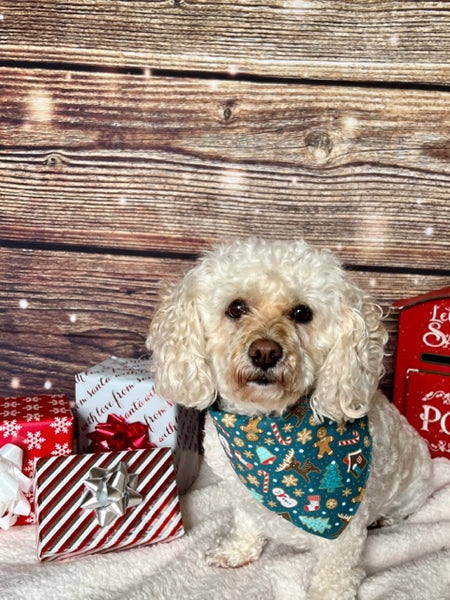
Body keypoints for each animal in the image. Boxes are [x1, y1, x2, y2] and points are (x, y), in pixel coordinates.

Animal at [147, 239, 428, 600]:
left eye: (301, 313)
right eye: (236, 308)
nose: (265, 352)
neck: (267, 423)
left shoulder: (346, 531)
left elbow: (334, 569)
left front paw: (327, 593)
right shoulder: (241, 491)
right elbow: (246, 522)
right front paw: (237, 550)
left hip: (412, 487)